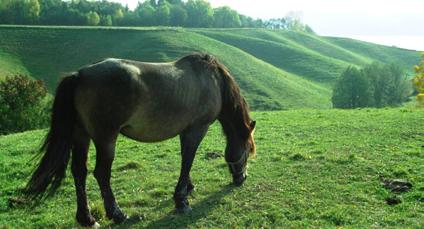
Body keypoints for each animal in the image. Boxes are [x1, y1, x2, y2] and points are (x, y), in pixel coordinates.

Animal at [24, 52, 256, 226]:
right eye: (247, 150)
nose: (242, 178)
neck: (213, 81)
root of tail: (80, 74)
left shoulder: (185, 131)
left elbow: (185, 159)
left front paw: (188, 187)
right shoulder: (197, 129)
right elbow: (188, 160)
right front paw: (181, 200)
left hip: (81, 135)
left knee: (79, 172)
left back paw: (87, 218)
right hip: (105, 138)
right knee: (101, 173)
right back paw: (117, 214)